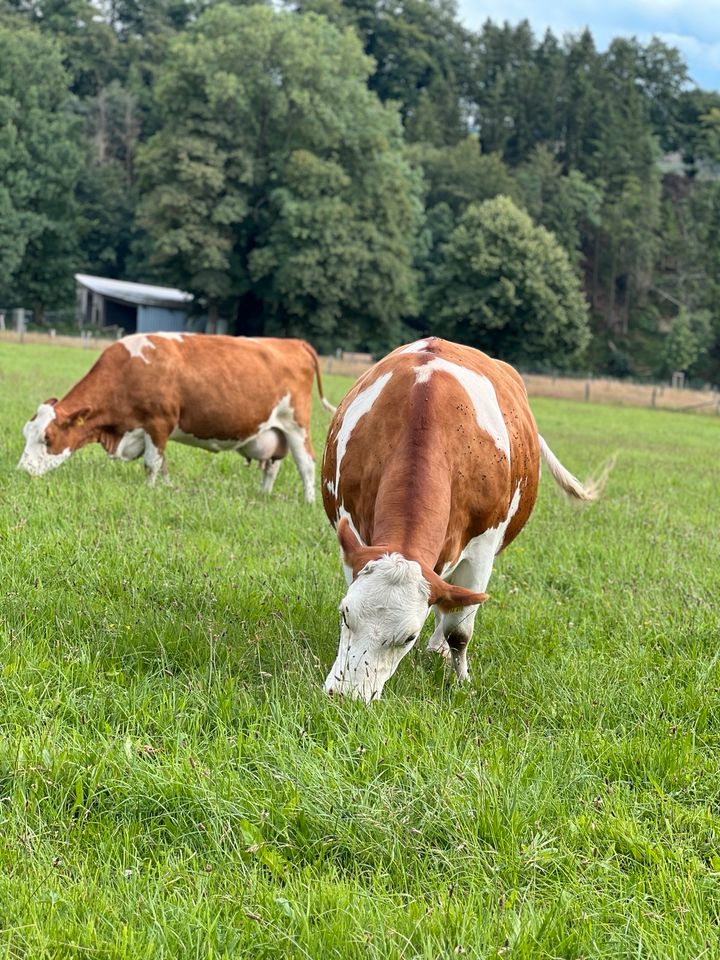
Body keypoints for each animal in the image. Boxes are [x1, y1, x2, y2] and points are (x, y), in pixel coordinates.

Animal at [19, 332, 334, 502]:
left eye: (47, 437)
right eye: (26, 433)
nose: (22, 471)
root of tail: (294, 343)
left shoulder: (158, 423)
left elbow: (151, 463)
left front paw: (150, 490)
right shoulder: (149, 431)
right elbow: (162, 463)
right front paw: (167, 486)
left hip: (296, 424)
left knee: (306, 464)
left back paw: (308, 500)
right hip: (274, 431)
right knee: (272, 466)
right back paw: (264, 495)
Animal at [322, 342, 600, 700]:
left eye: (408, 637)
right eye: (345, 613)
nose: (346, 696)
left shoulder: (481, 552)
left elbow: (460, 631)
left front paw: (461, 682)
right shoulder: (355, 539)